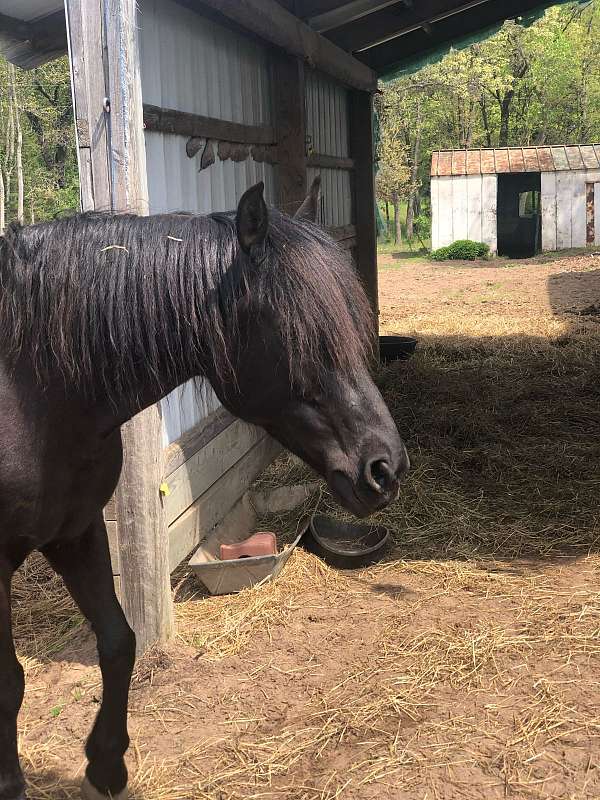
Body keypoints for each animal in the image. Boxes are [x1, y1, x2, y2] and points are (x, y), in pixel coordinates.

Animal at [0, 177, 409, 800]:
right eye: (301, 336)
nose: (385, 469)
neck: (32, 393)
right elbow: (9, 681)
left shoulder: (77, 531)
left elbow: (118, 642)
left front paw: (106, 766)